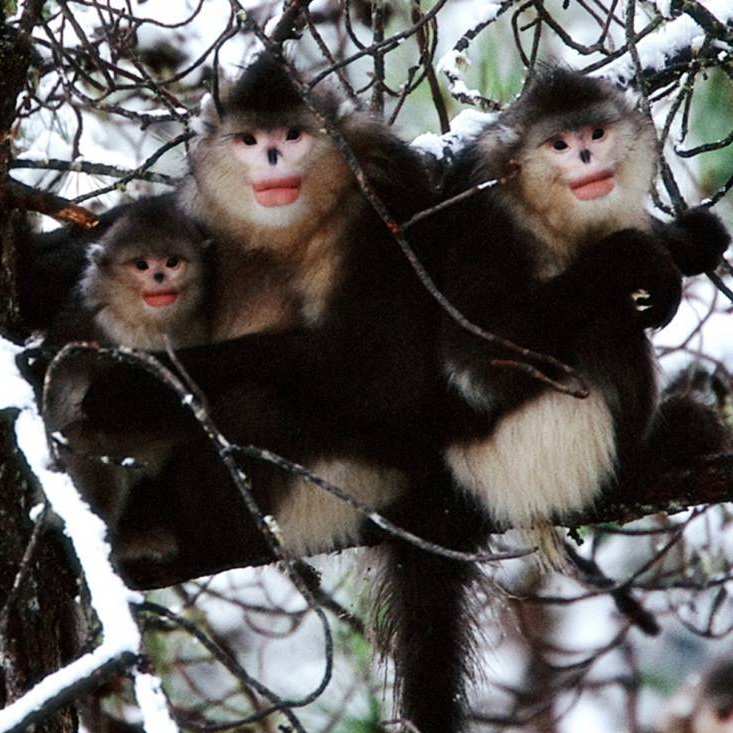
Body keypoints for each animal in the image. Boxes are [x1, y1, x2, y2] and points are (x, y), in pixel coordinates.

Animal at [438, 66, 731, 535]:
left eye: (596, 134)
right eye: (559, 145)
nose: (587, 157)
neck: (537, 205)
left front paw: (689, 241)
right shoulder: (484, 225)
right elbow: (477, 365)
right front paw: (633, 256)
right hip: (541, 459)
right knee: (608, 322)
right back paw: (647, 456)